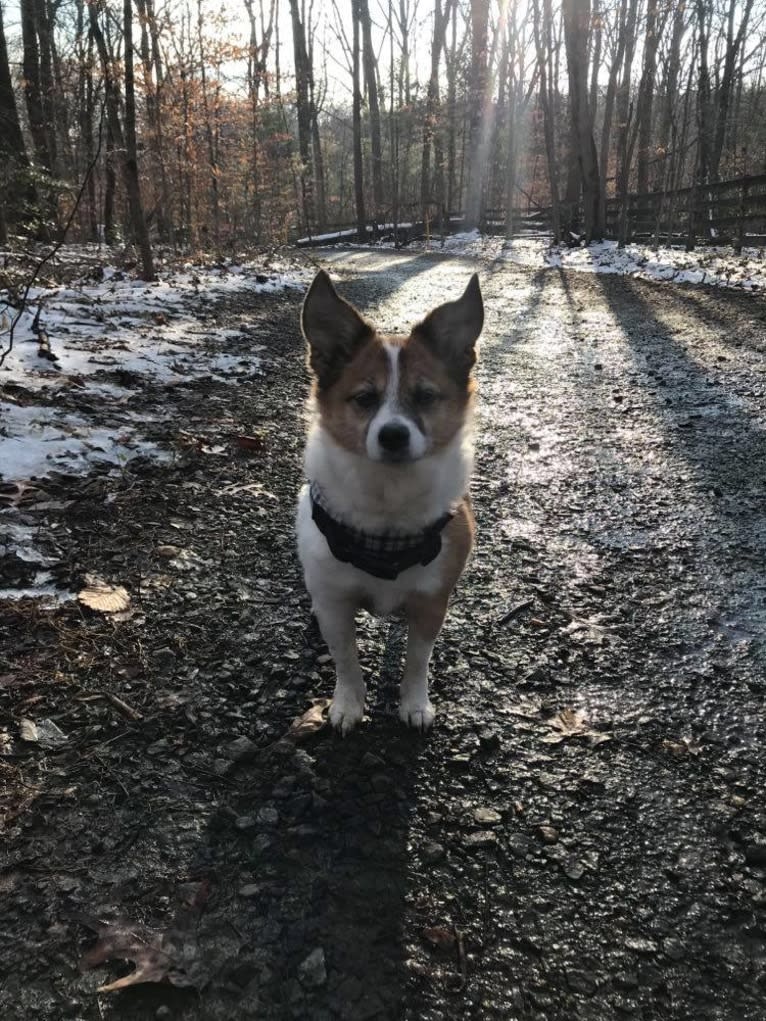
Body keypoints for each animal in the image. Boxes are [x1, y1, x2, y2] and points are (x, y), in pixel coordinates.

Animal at [296, 269, 482, 735]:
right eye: (364, 398)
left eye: (426, 396)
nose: (393, 435)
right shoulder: (336, 605)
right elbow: (346, 660)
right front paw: (348, 703)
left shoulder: (432, 602)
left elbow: (417, 660)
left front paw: (414, 703)